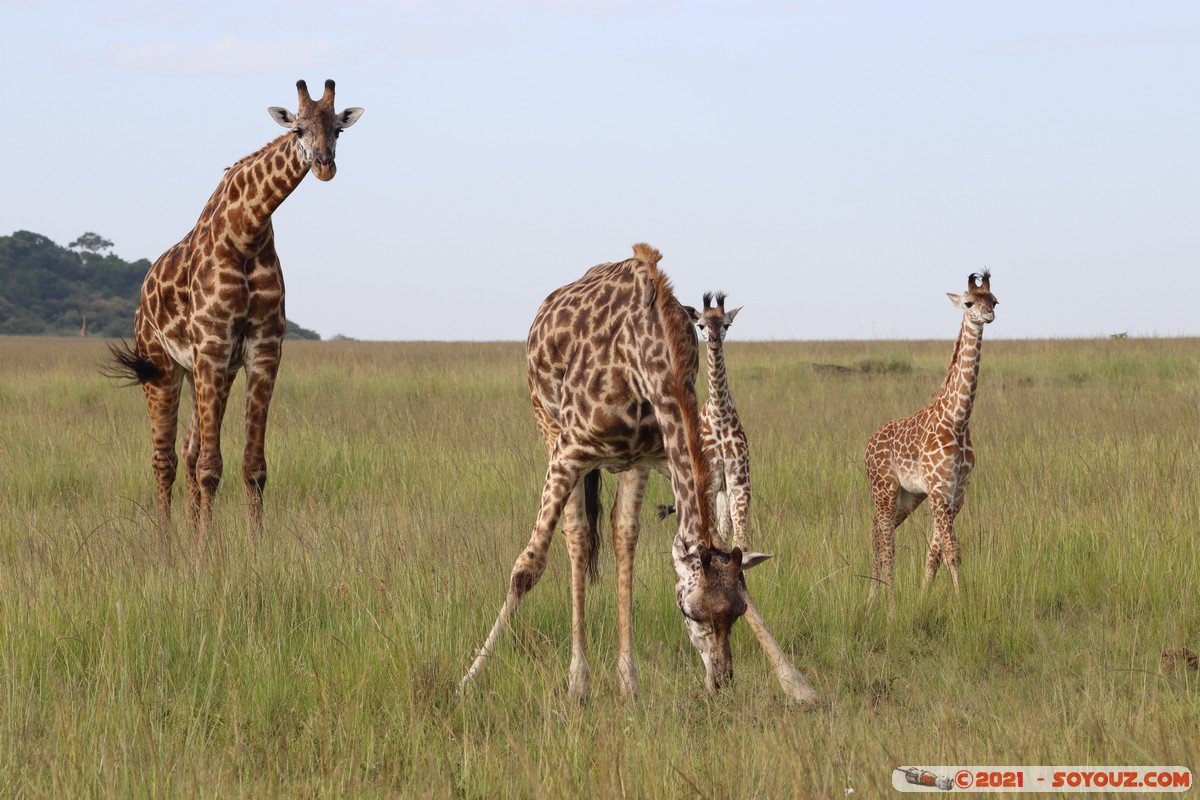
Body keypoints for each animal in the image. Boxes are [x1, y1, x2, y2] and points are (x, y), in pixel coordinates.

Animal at [107, 79, 360, 537]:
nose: (324, 166)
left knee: (188, 450)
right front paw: (207, 549)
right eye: (298, 129)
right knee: (165, 459)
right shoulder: (212, 346)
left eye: (338, 130)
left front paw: (250, 545)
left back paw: (187, 533)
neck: (247, 232)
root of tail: (143, 292)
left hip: (207, 373)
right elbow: (210, 467)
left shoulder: (262, 350)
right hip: (162, 367)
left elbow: (253, 467)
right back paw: (166, 542)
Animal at [453, 244, 820, 705]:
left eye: (735, 612)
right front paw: (468, 678)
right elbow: (527, 567)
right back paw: (579, 681)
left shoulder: (658, 455)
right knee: (577, 535)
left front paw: (798, 684)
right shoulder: (568, 450)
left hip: (628, 466)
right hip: (548, 427)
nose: (721, 681)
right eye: (688, 611)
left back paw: (627, 681)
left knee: (621, 533)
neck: (649, 357)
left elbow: (712, 546)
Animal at [868, 268, 998, 606]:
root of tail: (868, 443)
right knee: (885, 541)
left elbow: (936, 551)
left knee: (877, 533)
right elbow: (952, 550)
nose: (988, 315)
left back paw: (871, 600)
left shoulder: (956, 492)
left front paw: (923, 598)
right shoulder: (939, 489)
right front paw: (962, 605)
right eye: (968, 302)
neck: (958, 420)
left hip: (908, 496)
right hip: (884, 489)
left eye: (994, 300)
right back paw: (889, 604)